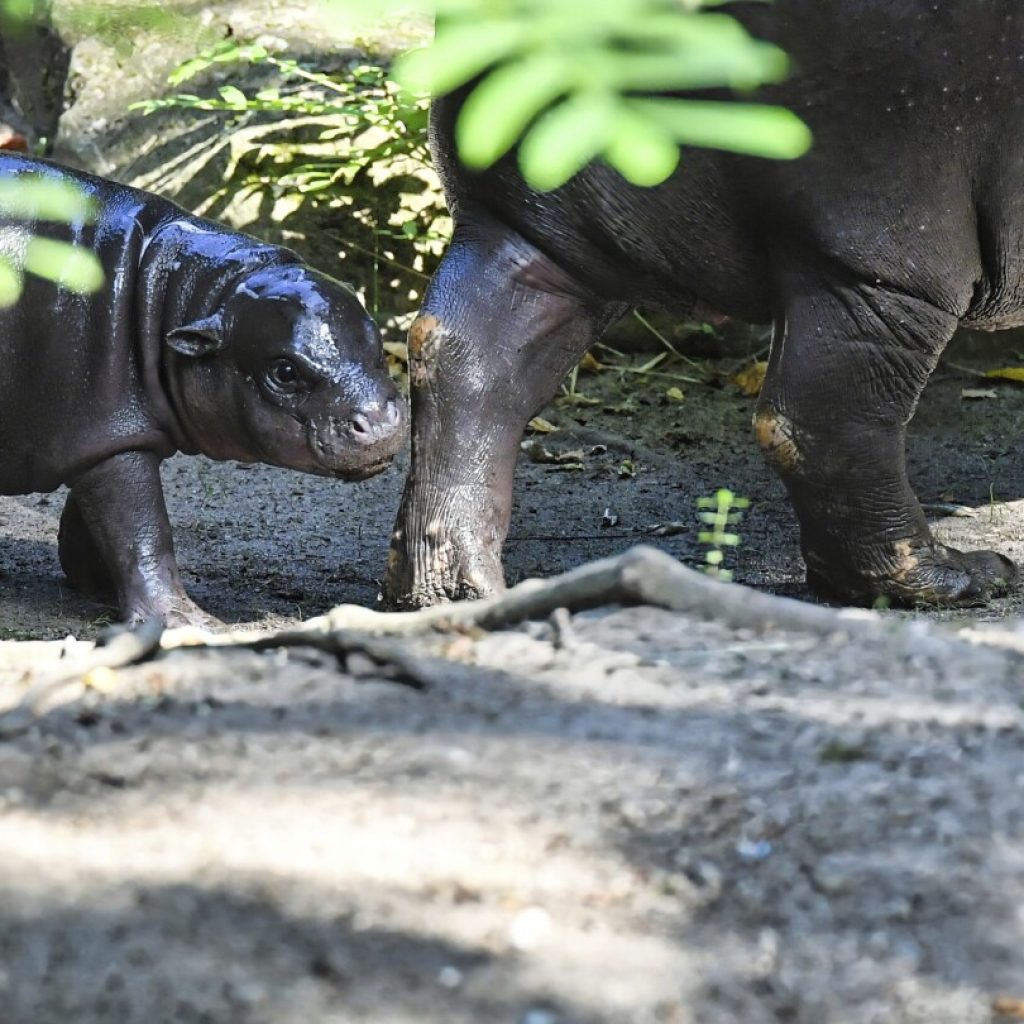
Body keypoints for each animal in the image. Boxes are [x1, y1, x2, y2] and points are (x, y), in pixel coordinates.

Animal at [1, 155, 407, 626]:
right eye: (284, 372)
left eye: (378, 341)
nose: (379, 420)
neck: (174, 297)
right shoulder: (108, 437)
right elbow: (142, 532)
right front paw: (189, 622)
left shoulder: (110, 438)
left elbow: (98, 524)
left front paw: (98, 590)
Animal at [387, 0, 1024, 606]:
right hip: (887, 246)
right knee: (822, 416)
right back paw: (959, 577)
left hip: (533, 230)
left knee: (466, 358)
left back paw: (449, 590)